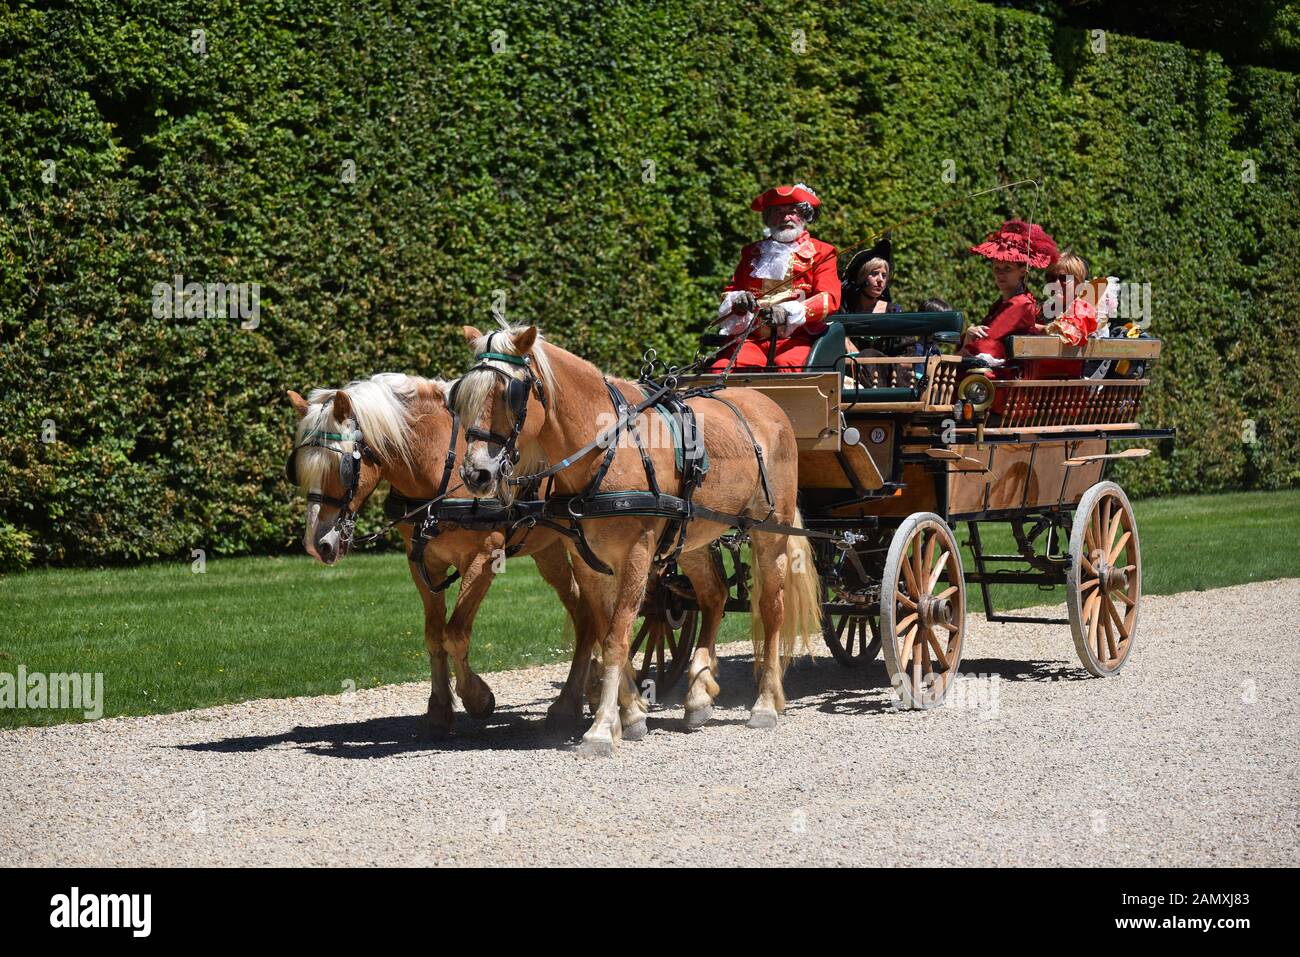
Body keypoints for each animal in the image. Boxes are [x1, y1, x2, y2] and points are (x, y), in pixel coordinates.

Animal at [287, 369, 595, 738]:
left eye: (343, 466)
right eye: (299, 468)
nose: (316, 544)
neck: (439, 467)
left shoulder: (484, 558)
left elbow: (455, 634)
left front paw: (477, 697)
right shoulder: (422, 561)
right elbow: (434, 635)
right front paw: (439, 710)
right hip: (549, 550)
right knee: (584, 612)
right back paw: (581, 695)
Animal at [452, 325, 816, 759]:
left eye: (511, 394)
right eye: (462, 395)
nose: (476, 474)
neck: (606, 451)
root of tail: (768, 404)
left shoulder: (637, 555)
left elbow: (616, 637)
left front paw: (600, 728)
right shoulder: (589, 561)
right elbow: (607, 629)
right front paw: (630, 714)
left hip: (770, 533)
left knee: (772, 609)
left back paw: (765, 703)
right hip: (692, 539)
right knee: (714, 597)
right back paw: (698, 694)